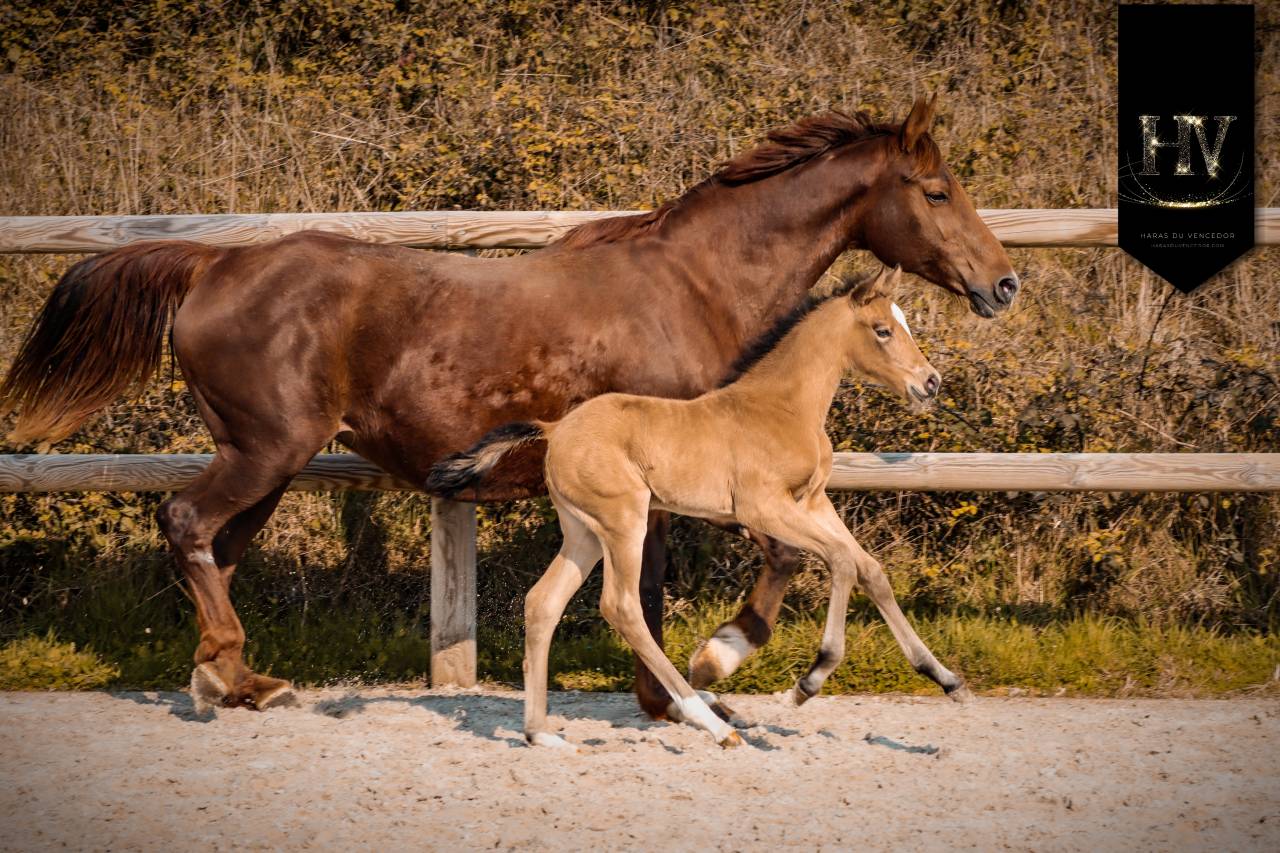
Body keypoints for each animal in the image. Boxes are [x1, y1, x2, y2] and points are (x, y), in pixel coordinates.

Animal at [428, 266, 963, 748]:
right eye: (882, 330)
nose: (931, 382)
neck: (783, 406)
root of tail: (554, 429)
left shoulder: (812, 503)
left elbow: (869, 568)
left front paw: (946, 678)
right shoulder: (762, 508)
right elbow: (841, 562)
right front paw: (807, 683)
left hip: (584, 532)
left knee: (543, 603)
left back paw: (541, 734)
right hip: (624, 521)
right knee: (621, 606)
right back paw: (714, 724)